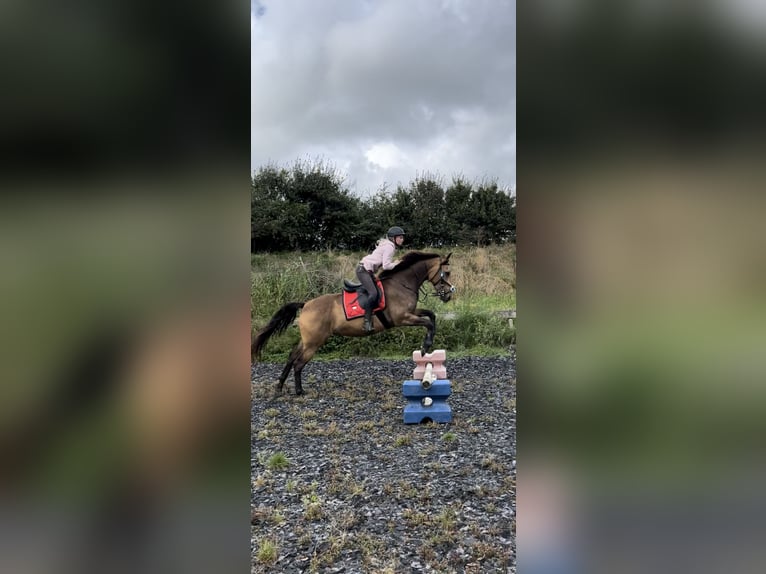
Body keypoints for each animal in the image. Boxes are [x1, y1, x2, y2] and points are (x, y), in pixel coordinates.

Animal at [252, 252, 456, 396]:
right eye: (446, 272)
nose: (449, 294)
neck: (402, 283)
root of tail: (306, 304)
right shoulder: (402, 318)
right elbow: (428, 324)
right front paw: (425, 347)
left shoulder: (412, 312)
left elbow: (431, 316)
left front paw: (427, 345)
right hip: (314, 342)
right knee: (299, 363)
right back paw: (299, 391)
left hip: (307, 340)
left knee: (291, 356)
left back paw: (279, 387)